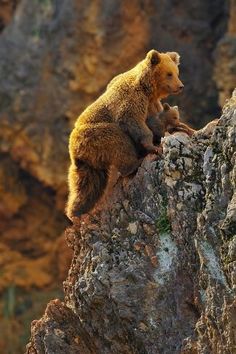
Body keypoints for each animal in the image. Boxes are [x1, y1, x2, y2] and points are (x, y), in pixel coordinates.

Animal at [65, 48, 183, 220]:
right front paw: (153, 146)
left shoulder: (151, 104)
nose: (180, 86)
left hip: (87, 162)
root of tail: (74, 148)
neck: (147, 89)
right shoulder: (132, 100)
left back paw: (76, 210)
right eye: (169, 74)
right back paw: (134, 164)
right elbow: (133, 121)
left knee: (87, 183)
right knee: (119, 143)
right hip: (96, 135)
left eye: (176, 72)